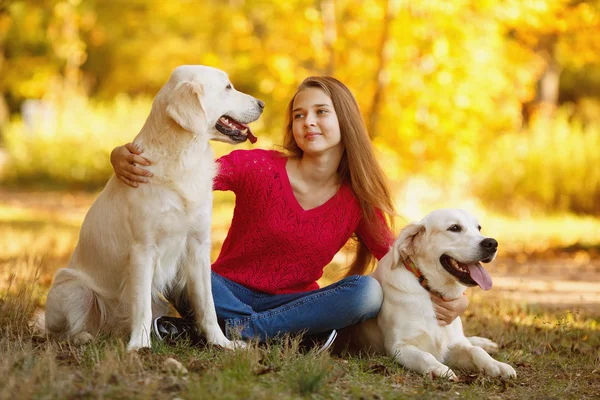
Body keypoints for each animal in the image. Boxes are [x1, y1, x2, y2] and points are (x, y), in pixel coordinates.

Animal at [43, 65, 264, 350]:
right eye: (227, 87)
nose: (262, 104)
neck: (183, 157)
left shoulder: (198, 246)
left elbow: (208, 306)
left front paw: (221, 342)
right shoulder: (142, 249)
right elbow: (142, 309)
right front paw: (139, 346)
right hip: (73, 288)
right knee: (62, 332)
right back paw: (83, 337)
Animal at [352, 209, 516, 382]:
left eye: (478, 228)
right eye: (454, 228)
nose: (492, 243)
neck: (428, 289)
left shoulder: (452, 346)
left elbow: (476, 351)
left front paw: (497, 365)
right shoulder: (399, 346)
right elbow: (425, 355)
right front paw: (439, 369)